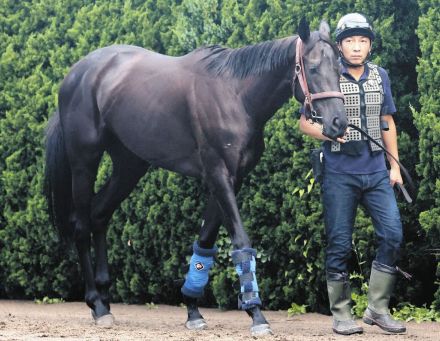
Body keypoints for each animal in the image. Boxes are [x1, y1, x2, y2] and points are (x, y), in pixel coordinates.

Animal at [44, 17, 348, 334]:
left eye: (339, 68)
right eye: (312, 68)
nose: (339, 122)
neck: (235, 96)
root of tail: (76, 73)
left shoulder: (231, 178)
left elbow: (205, 242)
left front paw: (192, 309)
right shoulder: (218, 174)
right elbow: (240, 241)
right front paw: (256, 313)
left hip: (129, 166)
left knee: (100, 215)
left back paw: (104, 296)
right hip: (84, 163)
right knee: (81, 225)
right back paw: (97, 303)